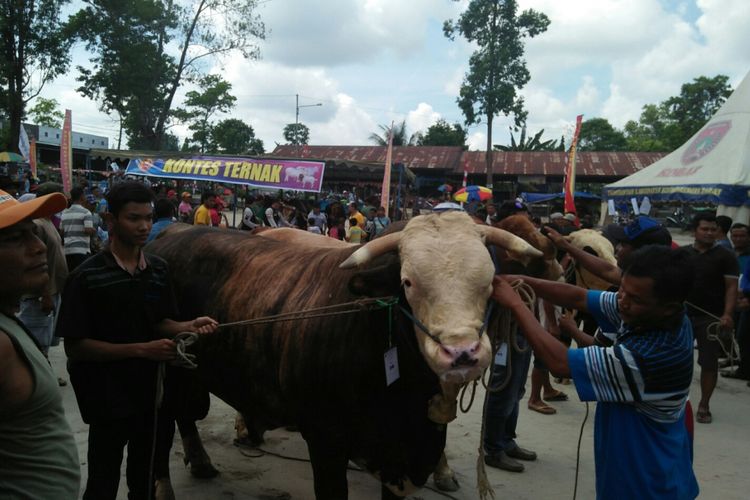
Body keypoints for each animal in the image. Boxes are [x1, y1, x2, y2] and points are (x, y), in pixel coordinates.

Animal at [147, 212, 544, 500]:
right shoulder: (326, 441)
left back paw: (202, 461)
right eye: (408, 282)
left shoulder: (401, 458)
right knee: (164, 425)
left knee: (184, 415)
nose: (462, 353)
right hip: (166, 369)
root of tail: (171, 236)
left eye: (490, 281)